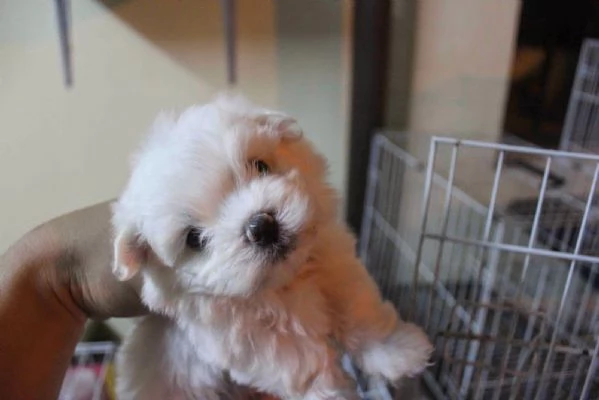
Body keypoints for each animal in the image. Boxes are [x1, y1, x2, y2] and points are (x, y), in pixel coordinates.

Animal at [111, 94, 432, 400]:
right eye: (194, 239)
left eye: (260, 166)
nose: (261, 227)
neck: (284, 284)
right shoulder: (243, 341)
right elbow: (301, 365)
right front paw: (332, 394)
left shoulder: (336, 266)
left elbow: (359, 310)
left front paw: (397, 350)